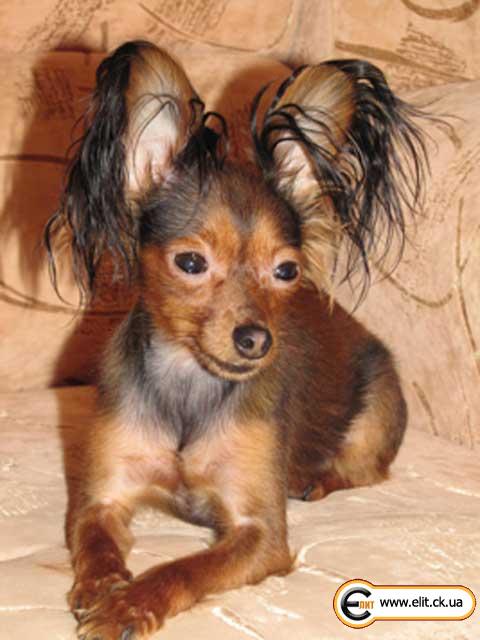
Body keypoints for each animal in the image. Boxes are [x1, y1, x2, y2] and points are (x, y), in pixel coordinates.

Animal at [45, 40, 427, 639]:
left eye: (287, 272)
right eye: (191, 263)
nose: (255, 340)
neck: (190, 386)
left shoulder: (259, 534)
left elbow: (184, 569)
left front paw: (129, 604)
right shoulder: (99, 499)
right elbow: (95, 542)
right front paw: (103, 584)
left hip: (380, 407)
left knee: (365, 467)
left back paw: (314, 478)